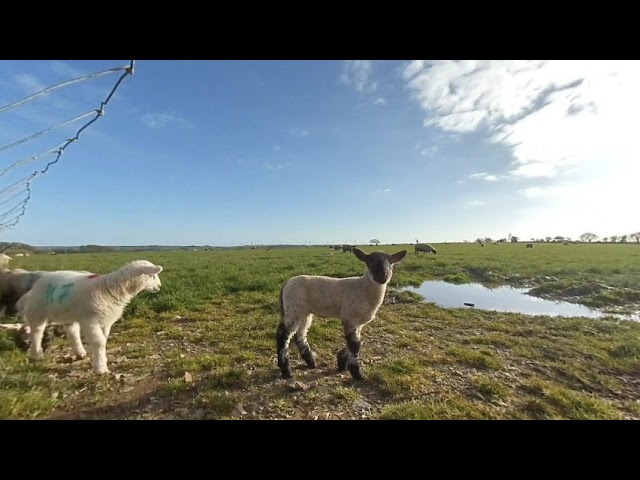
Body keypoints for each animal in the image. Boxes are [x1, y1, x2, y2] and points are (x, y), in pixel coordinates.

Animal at [17, 258, 164, 376]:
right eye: (151, 275)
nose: (159, 286)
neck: (109, 288)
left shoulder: (105, 321)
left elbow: (103, 340)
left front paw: (102, 359)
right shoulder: (90, 320)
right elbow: (99, 342)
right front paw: (100, 369)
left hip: (70, 312)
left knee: (72, 330)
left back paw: (79, 352)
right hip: (37, 310)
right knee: (37, 332)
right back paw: (37, 355)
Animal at [276, 248, 408, 378]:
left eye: (391, 263)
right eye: (369, 262)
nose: (382, 277)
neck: (363, 288)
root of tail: (286, 283)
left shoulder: (357, 322)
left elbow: (353, 343)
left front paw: (341, 362)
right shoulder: (350, 317)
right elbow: (355, 345)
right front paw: (357, 374)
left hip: (304, 312)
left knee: (300, 335)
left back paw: (311, 362)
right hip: (294, 308)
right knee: (282, 335)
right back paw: (286, 371)